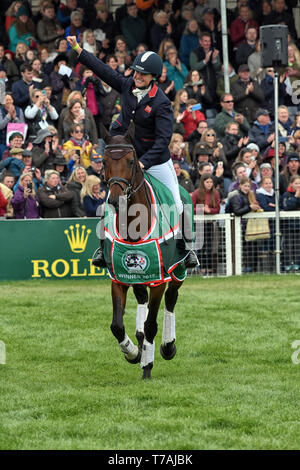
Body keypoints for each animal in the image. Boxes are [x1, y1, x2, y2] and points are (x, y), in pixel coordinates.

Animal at [101, 123, 185, 380]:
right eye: (103, 162)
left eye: (130, 161)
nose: (115, 200)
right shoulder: (118, 278)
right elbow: (117, 326)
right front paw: (133, 353)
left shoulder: (159, 281)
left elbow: (151, 324)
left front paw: (147, 366)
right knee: (141, 300)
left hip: (179, 270)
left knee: (171, 299)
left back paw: (167, 346)